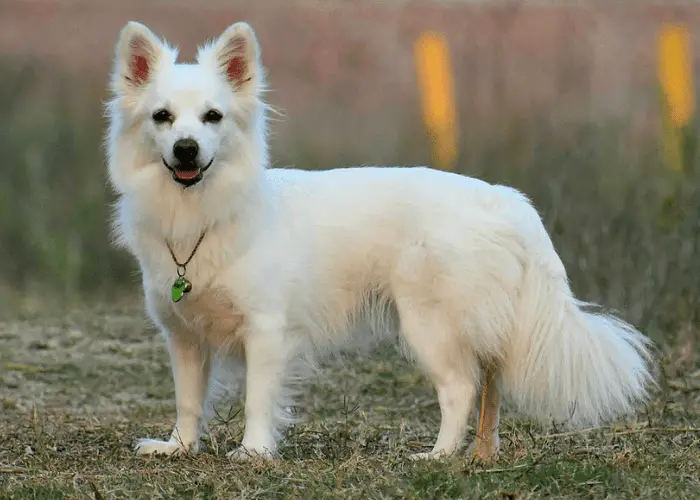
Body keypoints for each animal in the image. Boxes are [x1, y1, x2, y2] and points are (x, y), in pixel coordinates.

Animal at [104, 20, 656, 460]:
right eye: (162, 117)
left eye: (213, 117)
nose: (186, 149)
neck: (202, 214)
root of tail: (508, 200)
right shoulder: (184, 338)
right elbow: (188, 400)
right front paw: (178, 447)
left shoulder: (266, 332)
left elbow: (258, 398)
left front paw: (255, 452)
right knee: (490, 389)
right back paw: (482, 455)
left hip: (429, 324)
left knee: (461, 388)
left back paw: (438, 456)